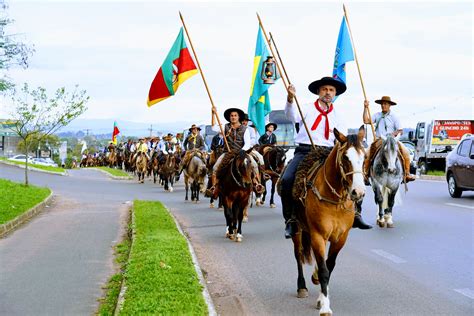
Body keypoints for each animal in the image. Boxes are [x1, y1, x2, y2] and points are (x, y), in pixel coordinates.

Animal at [290, 128, 364, 314]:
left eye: (364, 156)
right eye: (345, 157)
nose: (358, 192)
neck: (335, 201)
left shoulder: (341, 238)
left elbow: (328, 266)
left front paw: (321, 297)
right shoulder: (318, 235)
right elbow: (324, 270)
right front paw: (324, 305)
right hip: (297, 230)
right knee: (298, 255)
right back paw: (301, 287)